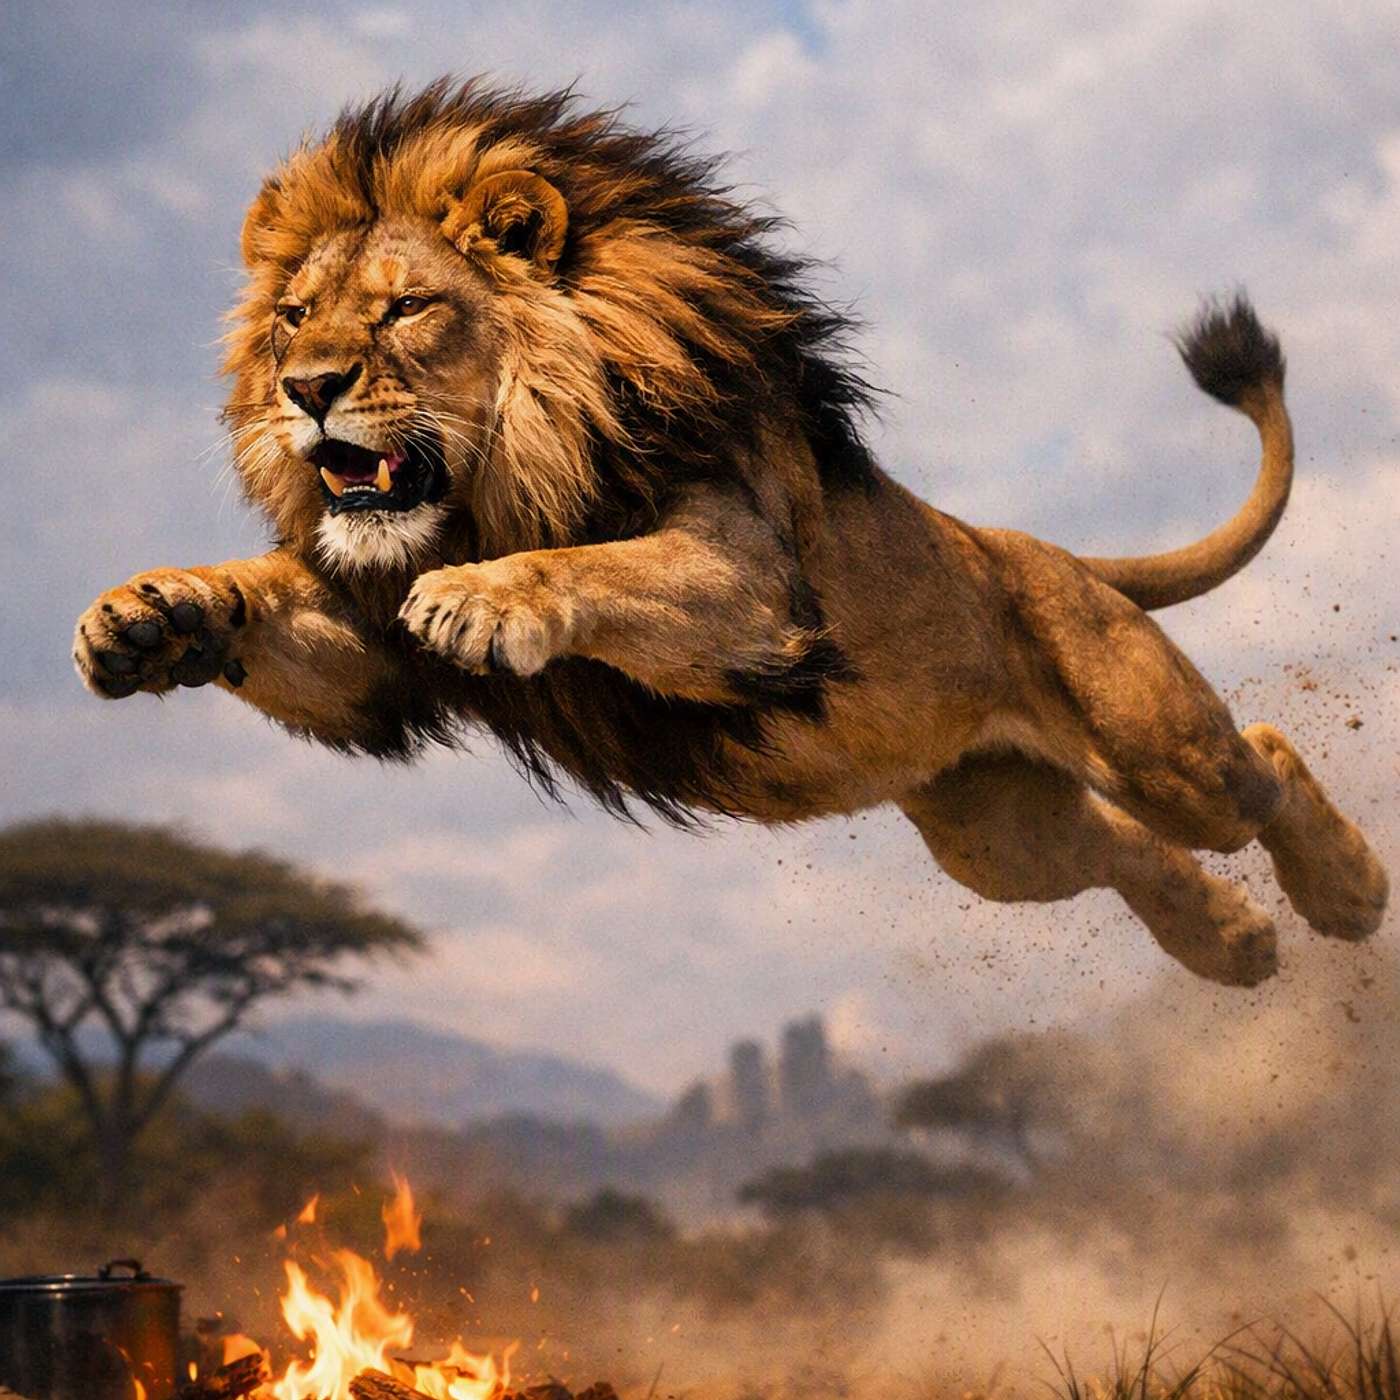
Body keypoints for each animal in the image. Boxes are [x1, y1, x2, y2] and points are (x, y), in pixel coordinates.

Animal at [74, 79, 1387, 986]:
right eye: (293, 316)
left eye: (404, 309)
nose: (303, 388)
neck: (492, 486)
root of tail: (1040, 550)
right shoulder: (367, 645)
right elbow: (271, 604)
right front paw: (144, 614)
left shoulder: (749, 585)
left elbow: (593, 565)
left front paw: (490, 597)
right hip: (995, 828)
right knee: (1116, 847)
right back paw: (1231, 940)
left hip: (1155, 747)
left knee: (1258, 759)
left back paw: (1348, 893)